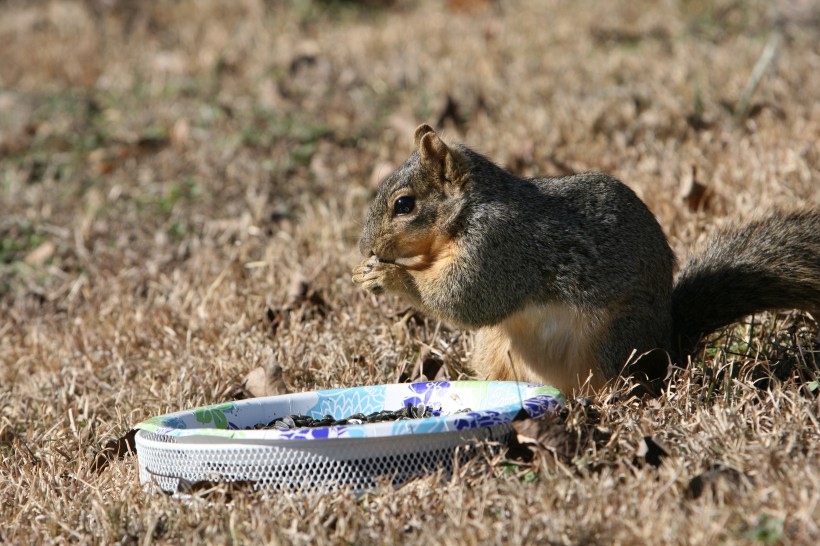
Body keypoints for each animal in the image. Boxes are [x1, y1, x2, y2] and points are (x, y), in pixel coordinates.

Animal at [352, 125, 820, 394]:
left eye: (404, 205)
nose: (366, 248)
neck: (467, 213)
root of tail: (668, 347)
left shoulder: (501, 247)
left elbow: (465, 299)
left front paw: (392, 277)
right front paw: (365, 271)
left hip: (613, 344)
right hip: (494, 348)